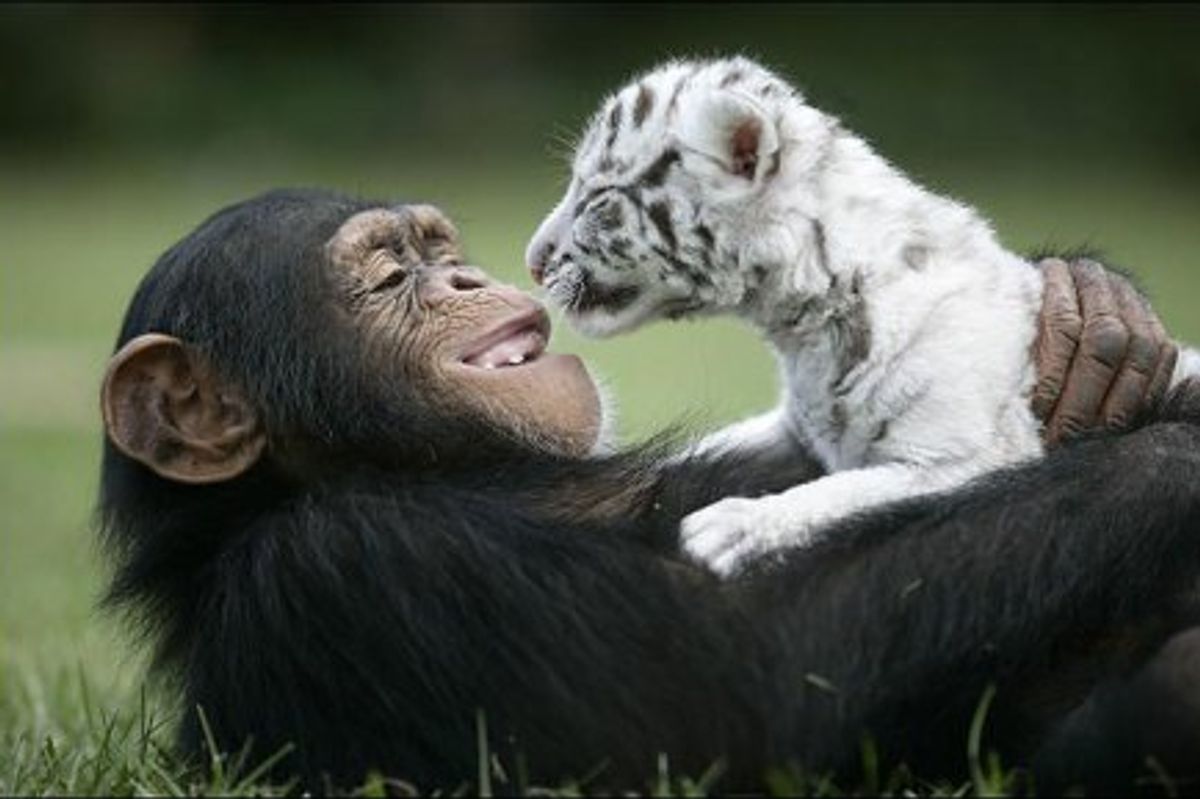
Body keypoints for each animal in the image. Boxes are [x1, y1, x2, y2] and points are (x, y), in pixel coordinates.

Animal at [525, 56, 1196, 577]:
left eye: (598, 197)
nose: (533, 262)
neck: (803, 326)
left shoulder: (965, 457)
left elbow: (851, 491)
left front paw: (732, 526)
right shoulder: (794, 428)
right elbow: (700, 453)